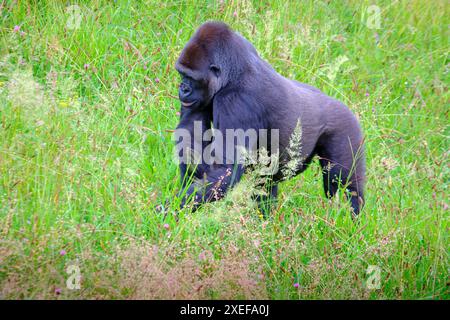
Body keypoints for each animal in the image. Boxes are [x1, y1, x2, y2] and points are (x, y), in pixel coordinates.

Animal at [172, 21, 366, 216]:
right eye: (181, 74)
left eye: (191, 77)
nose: (183, 88)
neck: (233, 72)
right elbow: (190, 138)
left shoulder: (235, 101)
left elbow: (227, 169)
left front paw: (174, 209)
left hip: (347, 129)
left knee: (344, 183)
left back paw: (350, 216)